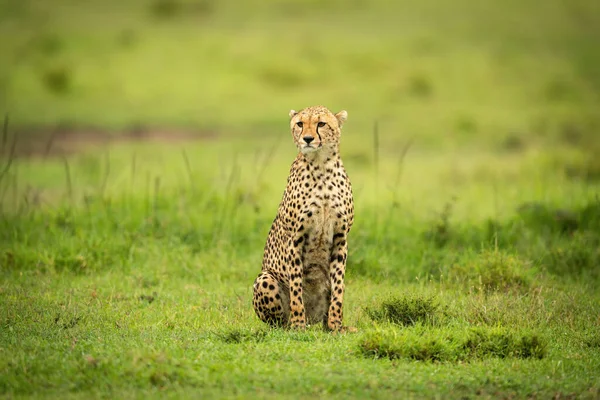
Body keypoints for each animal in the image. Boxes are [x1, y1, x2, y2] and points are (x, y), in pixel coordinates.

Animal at [253, 104, 356, 332]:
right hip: (265, 277)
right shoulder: (295, 238)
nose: (307, 139)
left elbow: (339, 287)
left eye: (321, 124)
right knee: (278, 322)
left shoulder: (340, 237)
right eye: (300, 123)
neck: (321, 165)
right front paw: (298, 324)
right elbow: (296, 288)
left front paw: (336, 326)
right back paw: (294, 324)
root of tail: (313, 319)